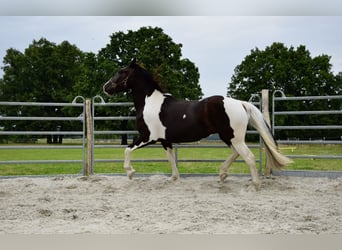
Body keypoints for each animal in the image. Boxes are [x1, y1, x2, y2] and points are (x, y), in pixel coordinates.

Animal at [102, 58, 292, 190]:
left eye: (122, 72)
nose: (106, 87)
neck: (150, 103)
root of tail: (240, 103)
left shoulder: (148, 137)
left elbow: (127, 150)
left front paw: (130, 172)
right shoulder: (165, 141)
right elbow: (171, 159)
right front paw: (173, 178)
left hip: (234, 137)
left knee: (249, 157)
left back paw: (254, 185)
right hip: (228, 136)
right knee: (236, 153)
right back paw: (222, 174)